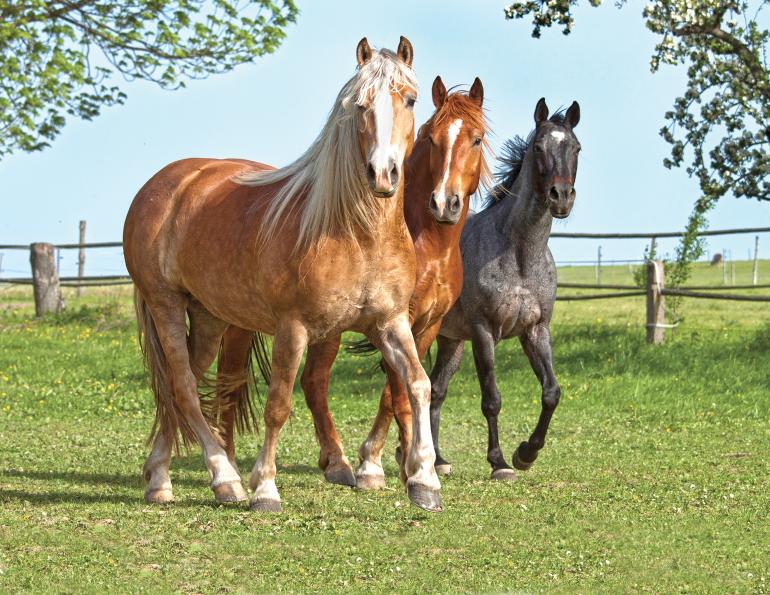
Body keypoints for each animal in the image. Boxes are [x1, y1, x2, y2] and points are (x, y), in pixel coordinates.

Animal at [123, 37, 444, 512]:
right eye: (360, 104)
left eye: (410, 99)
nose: (382, 174)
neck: (356, 233)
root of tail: (161, 186)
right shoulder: (293, 328)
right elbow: (278, 405)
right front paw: (265, 489)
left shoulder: (391, 323)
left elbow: (418, 384)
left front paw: (424, 479)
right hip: (165, 305)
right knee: (182, 388)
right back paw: (226, 478)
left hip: (208, 317)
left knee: (186, 388)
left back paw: (161, 478)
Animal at [216, 76, 491, 491]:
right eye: (431, 138)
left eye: (476, 139)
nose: (445, 203)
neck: (429, 245)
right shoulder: (397, 320)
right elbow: (395, 393)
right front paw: (382, 463)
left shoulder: (427, 324)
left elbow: (404, 389)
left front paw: (403, 460)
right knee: (249, 381)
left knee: (309, 382)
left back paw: (333, 461)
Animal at [429, 98, 581, 479]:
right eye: (539, 147)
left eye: (576, 147)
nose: (561, 197)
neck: (519, 255)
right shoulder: (484, 332)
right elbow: (491, 399)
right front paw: (498, 463)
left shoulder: (536, 330)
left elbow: (551, 391)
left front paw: (526, 453)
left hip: (450, 342)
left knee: (434, 391)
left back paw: (437, 460)